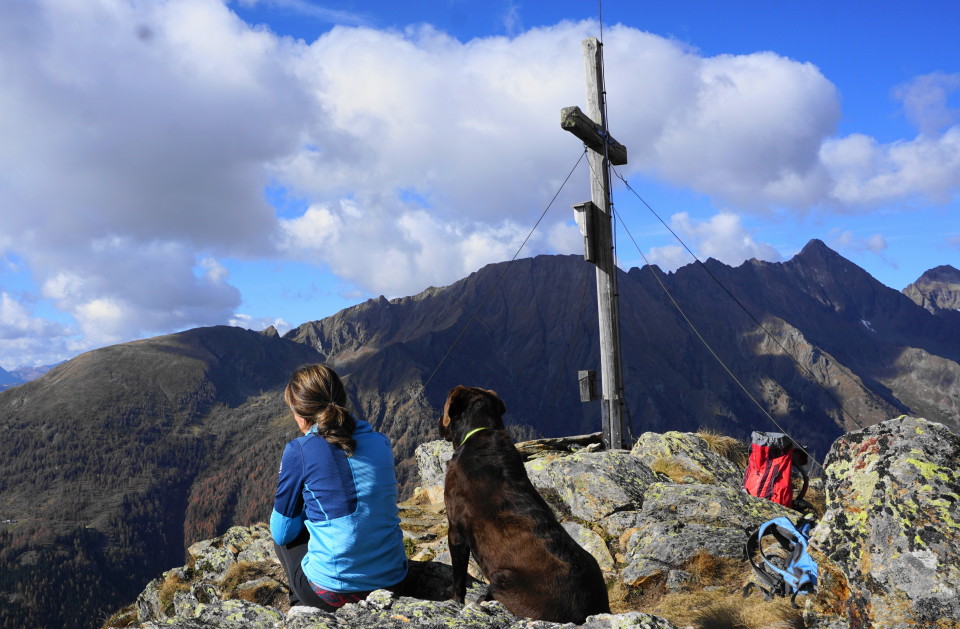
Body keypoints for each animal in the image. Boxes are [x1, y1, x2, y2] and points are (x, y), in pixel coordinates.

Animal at [440, 386, 612, 620]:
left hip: (503, 578)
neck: (478, 432)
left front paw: (454, 601)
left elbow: (459, 578)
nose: (439, 424)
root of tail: (590, 609)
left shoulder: (456, 530)